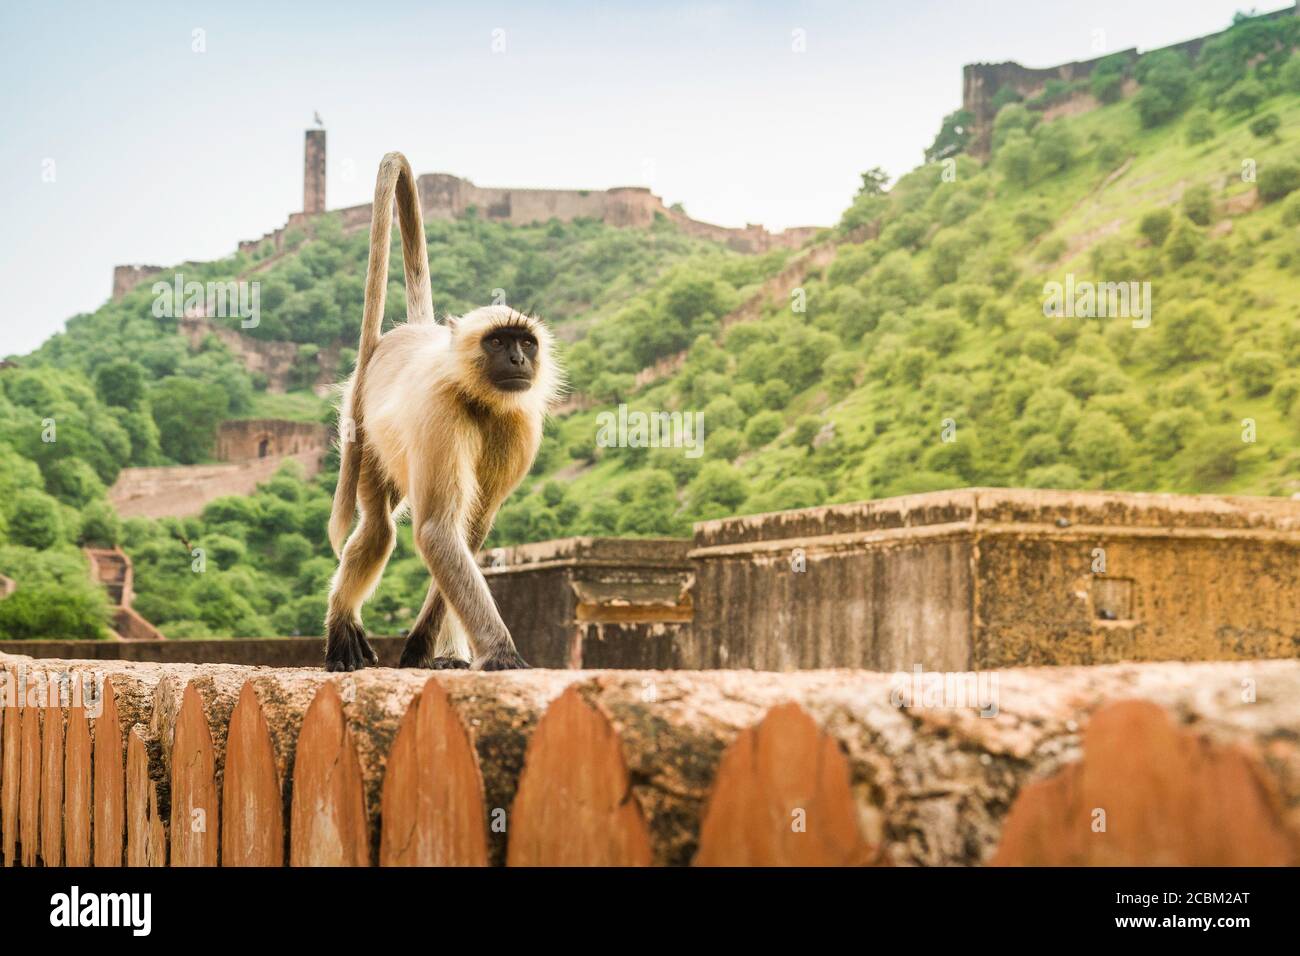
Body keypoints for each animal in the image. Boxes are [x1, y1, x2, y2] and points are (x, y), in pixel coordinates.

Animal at [323, 152, 562, 672]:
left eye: (525, 343)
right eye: (498, 342)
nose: (518, 361)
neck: (478, 398)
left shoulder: (520, 426)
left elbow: (468, 531)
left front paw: (420, 646)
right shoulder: (441, 413)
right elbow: (437, 531)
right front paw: (502, 655)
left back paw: (448, 652)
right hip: (365, 436)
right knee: (378, 530)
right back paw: (341, 621)